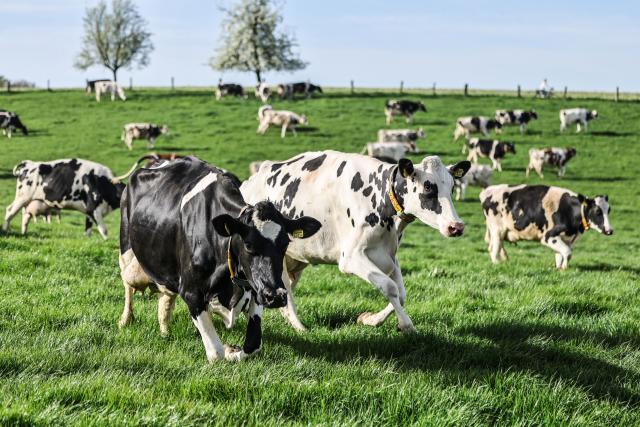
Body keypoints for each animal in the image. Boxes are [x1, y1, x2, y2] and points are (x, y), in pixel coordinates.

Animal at [3, 157, 145, 238]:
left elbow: (88, 229)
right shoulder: (93, 209)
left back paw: (23, 232)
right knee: (10, 211)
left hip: (30, 201)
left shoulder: (89, 211)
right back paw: (5, 231)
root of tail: (29, 164)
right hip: (22, 197)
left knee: (25, 216)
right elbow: (104, 231)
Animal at [117, 156, 321, 361]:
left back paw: (164, 329)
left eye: (285, 243)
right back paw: (126, 319)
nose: (276, 296)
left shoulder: (256, 289)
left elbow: (253, 345)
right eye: (248, 244)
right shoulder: (191, 292)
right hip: (126, 245)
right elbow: (216, 354)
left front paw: (232, 350)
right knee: (127, 283)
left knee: (165, 296)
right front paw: (226, 350)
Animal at [240, 150, 471, 333]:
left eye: (451, 187)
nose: (456, 226)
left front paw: (369, 319)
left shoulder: (389, 256)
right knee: (285, 291)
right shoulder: (351, 257)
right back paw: (300, 327)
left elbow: (402, 293)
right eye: (428, 188)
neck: (379, 195)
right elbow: (390, 288)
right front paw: (406, 325)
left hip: (294, 259)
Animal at [480, 184, 613, 269]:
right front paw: (564, 268)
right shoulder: (548, 236)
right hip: (497, 229)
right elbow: (567, 252)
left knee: (494, 246)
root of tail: (488, 190)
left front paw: (559, 268)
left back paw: (505, 260)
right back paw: (497, 264)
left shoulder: (568, 239)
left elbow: (560, 254)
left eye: (609, 210)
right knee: (494, 249)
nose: (610, 230)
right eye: (597, 212)